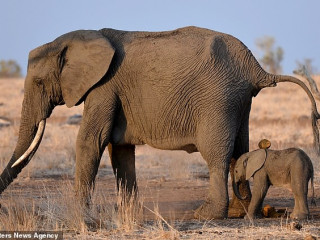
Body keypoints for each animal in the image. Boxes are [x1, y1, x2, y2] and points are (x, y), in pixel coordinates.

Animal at [0, 26, 320, 219]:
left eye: (39, 83)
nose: (3, 209)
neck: (75, 39)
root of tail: (257, 68)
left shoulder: (103, 88)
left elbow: (91, 141)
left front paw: (79, 214)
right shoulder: (114, 94)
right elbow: (120, 150)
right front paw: (129, 214)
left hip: (218, 99)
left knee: (217, 154)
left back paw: (207, 215)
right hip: (239, 102)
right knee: (240, 151)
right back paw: (237, 213)